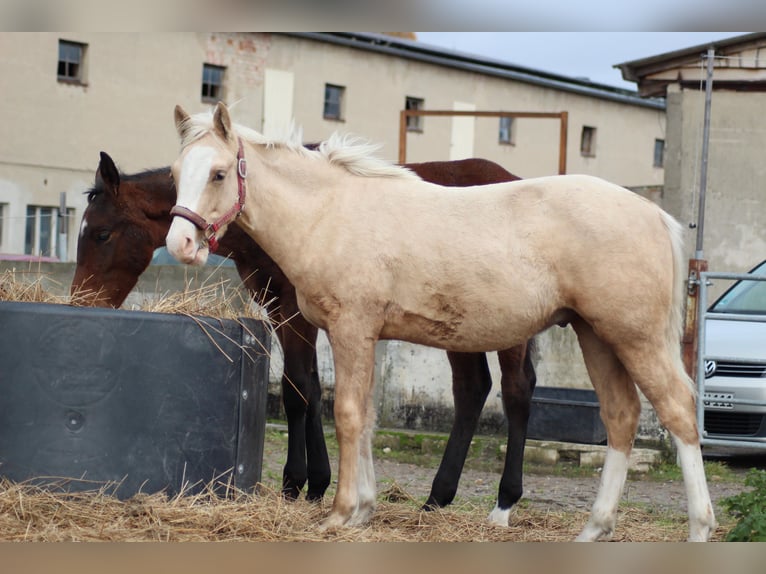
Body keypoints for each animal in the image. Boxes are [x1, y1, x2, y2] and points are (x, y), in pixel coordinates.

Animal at [73, 151, 540, 524]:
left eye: (102, 234)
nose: (82, 301)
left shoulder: (297, 312)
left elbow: (297, 390)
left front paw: (294, 482)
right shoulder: (288, 310)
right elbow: (312, 388)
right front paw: (317, 483)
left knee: (515, 390)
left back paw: (502, 501)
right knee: (472, 388)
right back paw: (437, 498)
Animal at [165, 101, 716, 544]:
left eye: (218, 173)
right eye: (175, 172)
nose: (181, 245)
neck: (330, 213)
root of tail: (653, 213)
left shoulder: (349, 329)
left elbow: (347, 413)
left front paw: (340, 513)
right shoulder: (366, 335)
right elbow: (367, 417)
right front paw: (364, 510)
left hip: (634, 337)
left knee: (678, 411)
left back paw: (698, 529)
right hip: (595, 335)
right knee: (621, 416)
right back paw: (594, 529)